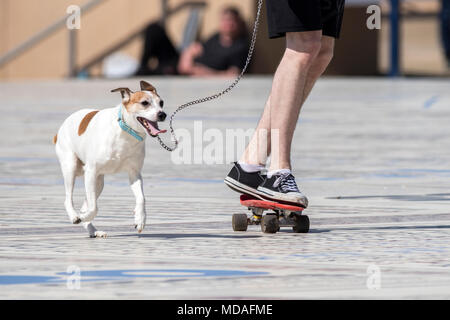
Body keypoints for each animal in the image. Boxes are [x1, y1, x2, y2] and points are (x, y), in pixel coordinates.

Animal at [54, 81, 167, 238]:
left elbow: (141, 198)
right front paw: (83, 216)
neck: (125, 130)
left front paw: (140, 219)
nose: (162, 114)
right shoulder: (91, 171)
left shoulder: (134, 173)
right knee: (68, 199)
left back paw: (93, 230)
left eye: (161, 103)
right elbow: (94, 207)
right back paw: (75, 216)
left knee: (85, 203)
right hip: (71, 167)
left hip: (98, 182)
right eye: (145, 103)